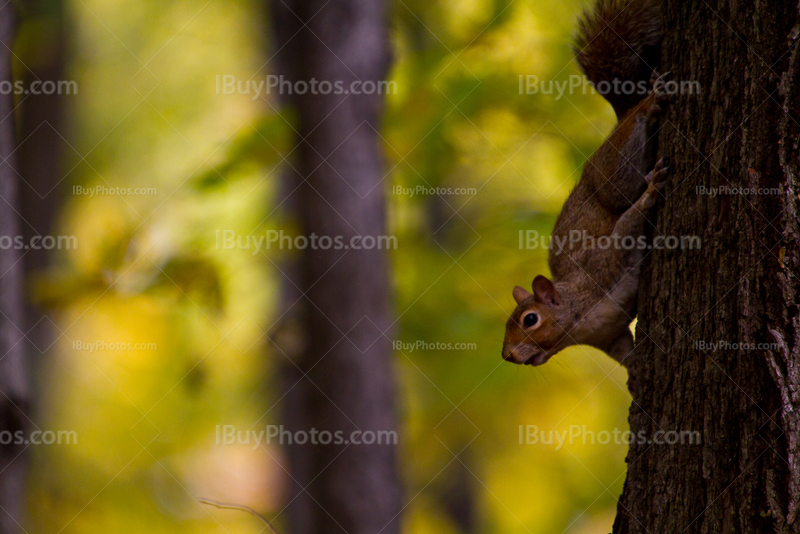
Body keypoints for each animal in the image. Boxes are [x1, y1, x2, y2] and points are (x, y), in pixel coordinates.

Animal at [506, 0, 668, 368]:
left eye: (530, 319)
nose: (507, 355)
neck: (577, 324)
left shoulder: (600, 267)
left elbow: (625, 229)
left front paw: (650, 195)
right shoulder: (611, 338)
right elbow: (627, 356)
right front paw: (637, 373)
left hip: (613, 174)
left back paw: (648, 103)